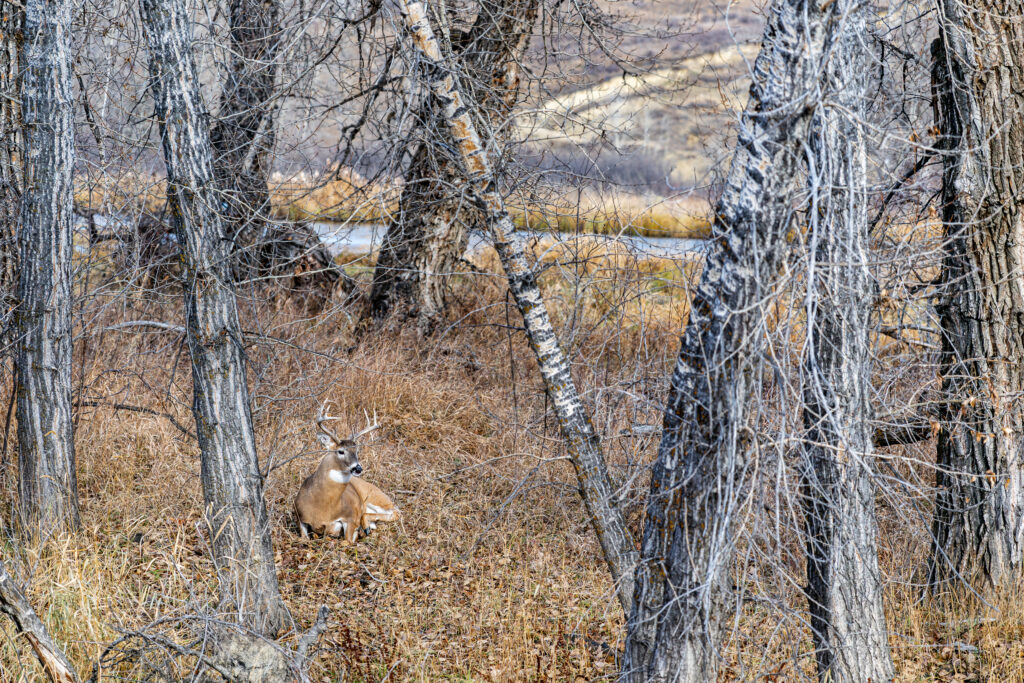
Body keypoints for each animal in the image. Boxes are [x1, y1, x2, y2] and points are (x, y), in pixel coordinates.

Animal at [294, 403, 400, 544]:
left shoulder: (351, 516)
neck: (322, 508)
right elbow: (303, 539)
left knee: (395, 512)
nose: (358, 468)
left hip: (377, 497)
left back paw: (365, 528)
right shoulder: (299, 516)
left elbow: (347, 541)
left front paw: (357, 533)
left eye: (357, 450)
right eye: (341, 451)